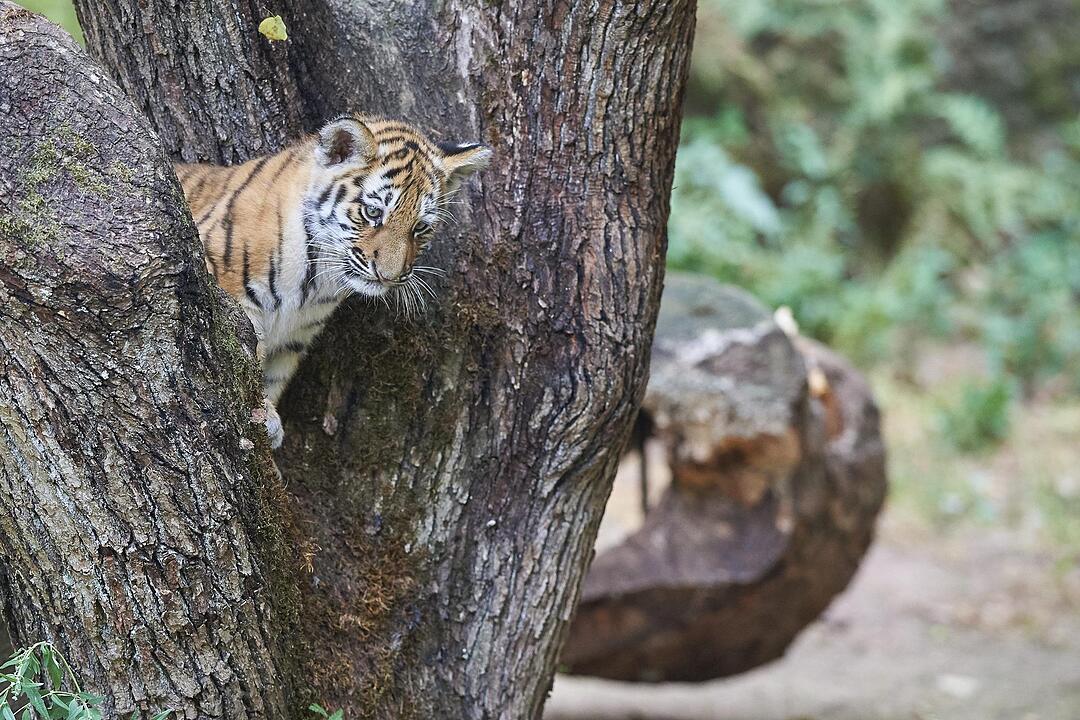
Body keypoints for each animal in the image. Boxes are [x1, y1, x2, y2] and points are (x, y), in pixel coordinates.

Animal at [174, 114, 491, 448]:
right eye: (373, 212)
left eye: (420, 227)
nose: (389, 276)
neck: (317, 276)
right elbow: (246, 358)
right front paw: (266, 416)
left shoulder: (296, 335)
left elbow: (272, 377)